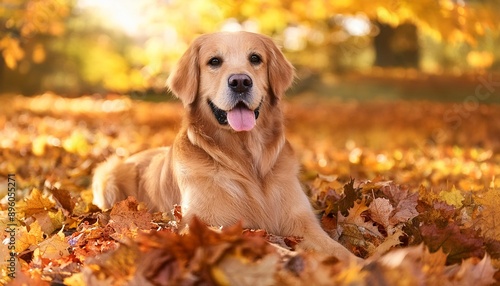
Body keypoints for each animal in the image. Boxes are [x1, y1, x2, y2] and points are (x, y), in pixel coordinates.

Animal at [93, 31, 356, 262]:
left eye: (255, 58)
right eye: (214, 61)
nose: (240, 82)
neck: (245, 159)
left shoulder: (302, 220)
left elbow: (339, 251)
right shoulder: (206, 224)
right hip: (106, 175)